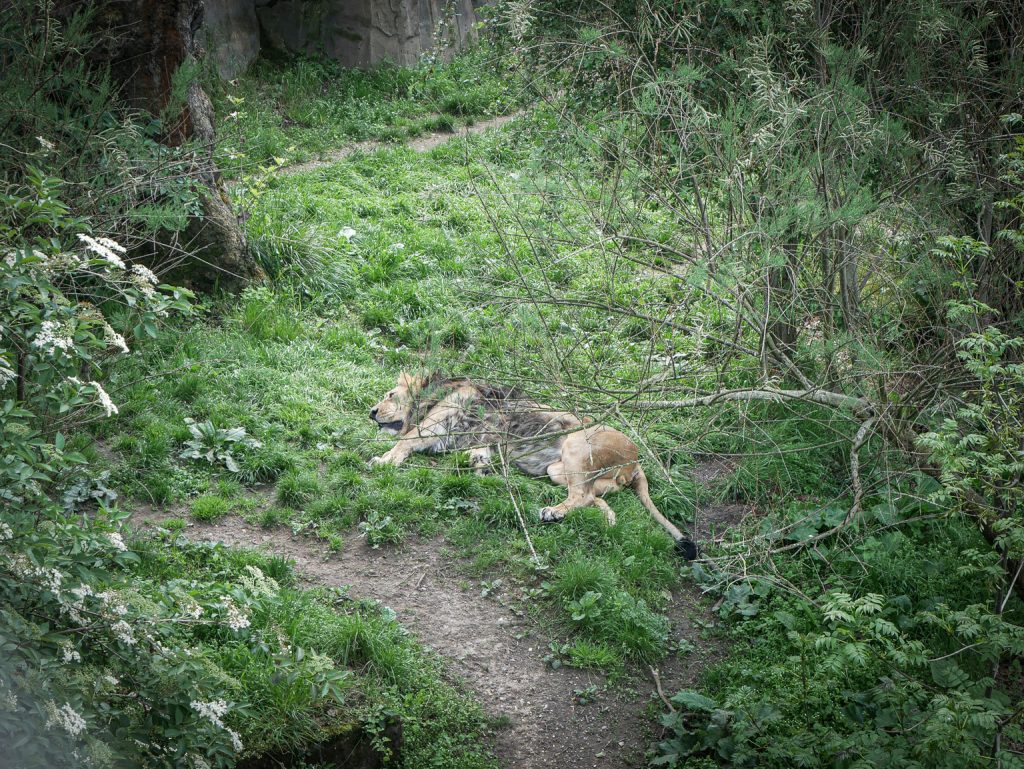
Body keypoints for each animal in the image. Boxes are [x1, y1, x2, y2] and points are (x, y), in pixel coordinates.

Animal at [368, 372, 696, 557]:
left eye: (390, 395)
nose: (371, 412)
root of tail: (637, 460)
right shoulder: (481, 440)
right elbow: (478, 456)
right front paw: (481, 471)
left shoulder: (432, 427)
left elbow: (402, 442)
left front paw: (382, 462)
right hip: (558, 472)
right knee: (595, 499)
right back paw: (603, 522)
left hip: (576, 444)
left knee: (581, 496)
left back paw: (552, 513)